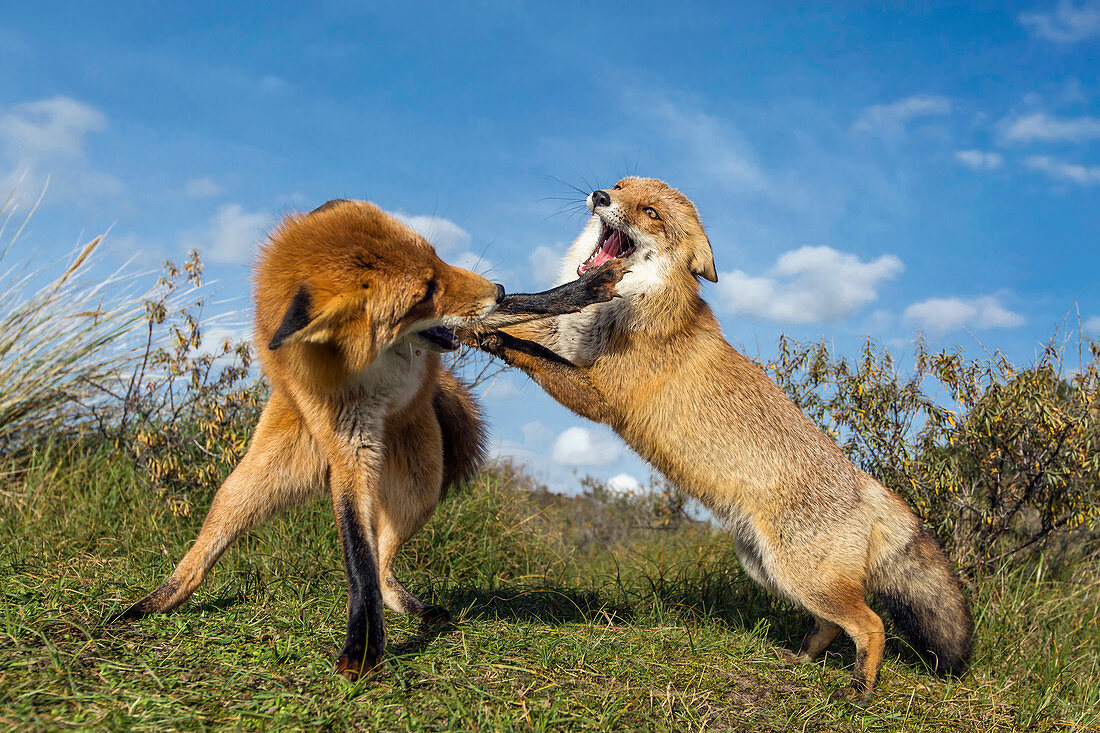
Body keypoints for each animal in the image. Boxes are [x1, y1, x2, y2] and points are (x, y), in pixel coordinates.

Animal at [113, 197, 629, 677]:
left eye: (438, 257)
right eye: (424, 293)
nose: (497, 290)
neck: (375, 365)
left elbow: (533, 304)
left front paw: (582, 288)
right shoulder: (349, 447)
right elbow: (357, 555)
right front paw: (363, 646)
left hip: (419, 489)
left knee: (385, 565)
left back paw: (415, 609)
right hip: (250, 488)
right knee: (213, 550)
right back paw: (149, 603)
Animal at [459, 178, 976, 695]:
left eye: (651, 213)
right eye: (621, 187)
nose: (601, 196)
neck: (623, 308)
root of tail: (869, 485)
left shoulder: (600, 397)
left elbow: (530, 352)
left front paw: (495, 337)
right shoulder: (560, 334)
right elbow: (524, 321)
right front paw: (474, 318)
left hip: (802, 576)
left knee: (872, 625)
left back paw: (861, 689)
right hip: (770, 570)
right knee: (831, 625)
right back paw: (802, 660)